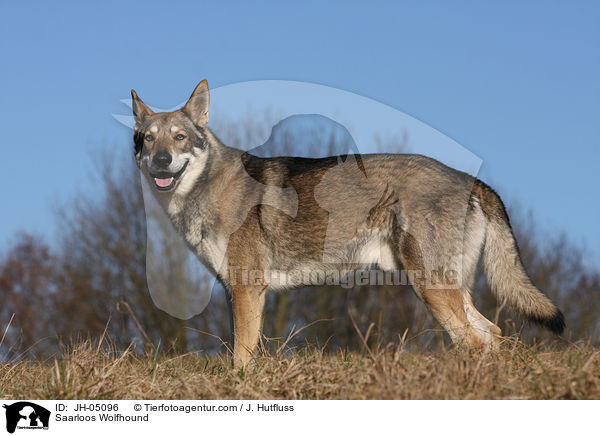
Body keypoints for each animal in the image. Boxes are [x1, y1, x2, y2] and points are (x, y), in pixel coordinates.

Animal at [129, 79, 564, 368]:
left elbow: (241, 357)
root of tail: (469, 178)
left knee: (474, 340)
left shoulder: (248, 290)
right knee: (492, 335)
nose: (162, 161)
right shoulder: (236, 291)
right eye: (148, 139)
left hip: (431, 288)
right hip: (445, 288)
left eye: (180, 138)